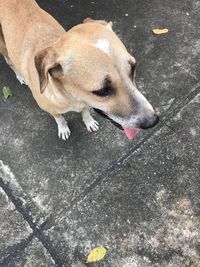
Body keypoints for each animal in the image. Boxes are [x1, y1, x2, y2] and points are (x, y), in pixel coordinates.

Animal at [0, 0, 159, 141]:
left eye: (133, 68)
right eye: (102, 91)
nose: (153, 121)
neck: (71, 98)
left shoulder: (85, 102)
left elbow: (86, 112)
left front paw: (89, 122)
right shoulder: (50, 109)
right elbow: (59, 118)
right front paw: (63, 128)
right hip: (4, 47)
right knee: (9, 61)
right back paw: (20, 76)